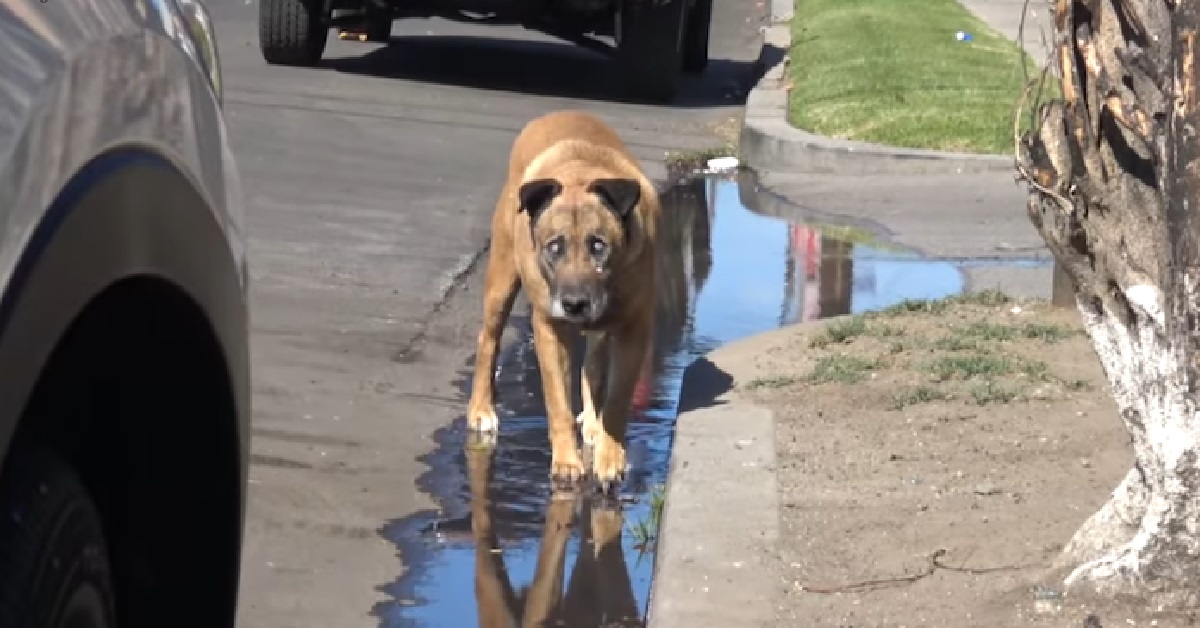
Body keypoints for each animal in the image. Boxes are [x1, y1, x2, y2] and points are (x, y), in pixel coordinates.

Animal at [465, 110, 657, 489]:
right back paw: (481, 409)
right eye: (555, 247)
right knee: (488, 339)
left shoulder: (634, 327)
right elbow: (557, 401)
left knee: (593, 365)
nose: (574, 304)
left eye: (599, 245)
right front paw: (567, 461)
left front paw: (610, 458)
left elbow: (617, 397)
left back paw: (594, 424)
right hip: (501, 279)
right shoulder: (549, 328)